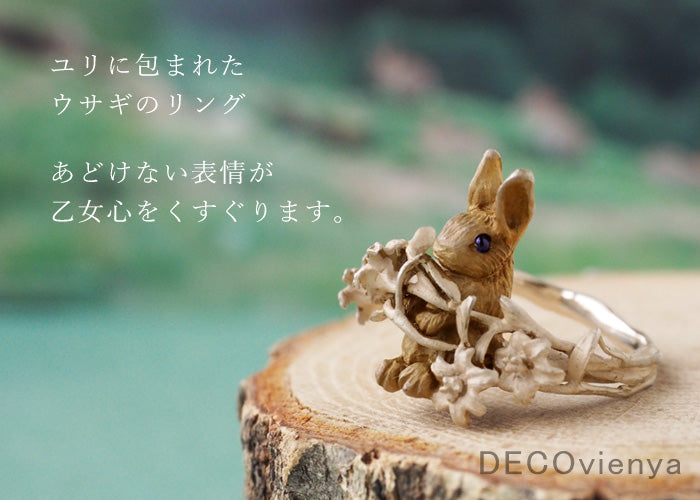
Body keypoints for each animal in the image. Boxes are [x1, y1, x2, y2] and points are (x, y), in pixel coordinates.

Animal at [376, 149, 535, 399]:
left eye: (482, 242)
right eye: (451, 222)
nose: (441, 247)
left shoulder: (478, 299)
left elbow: (451, 311)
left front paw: (427, 321)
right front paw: (403, 299)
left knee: (436, 367)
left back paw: (414, 379)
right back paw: (389, 370)